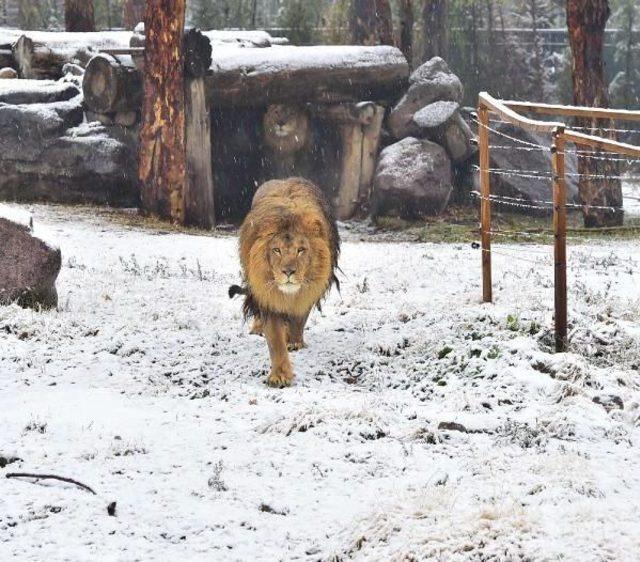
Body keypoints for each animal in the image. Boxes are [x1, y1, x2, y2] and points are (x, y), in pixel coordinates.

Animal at [230, 177, 340, 388]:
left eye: (301, 250)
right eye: (277, 250)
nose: (288, 271)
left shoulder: (309, 290)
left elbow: (298, 318)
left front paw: (294, 342)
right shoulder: (268, 295)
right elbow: (275, 340)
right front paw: (280, 375)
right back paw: (257, 329)